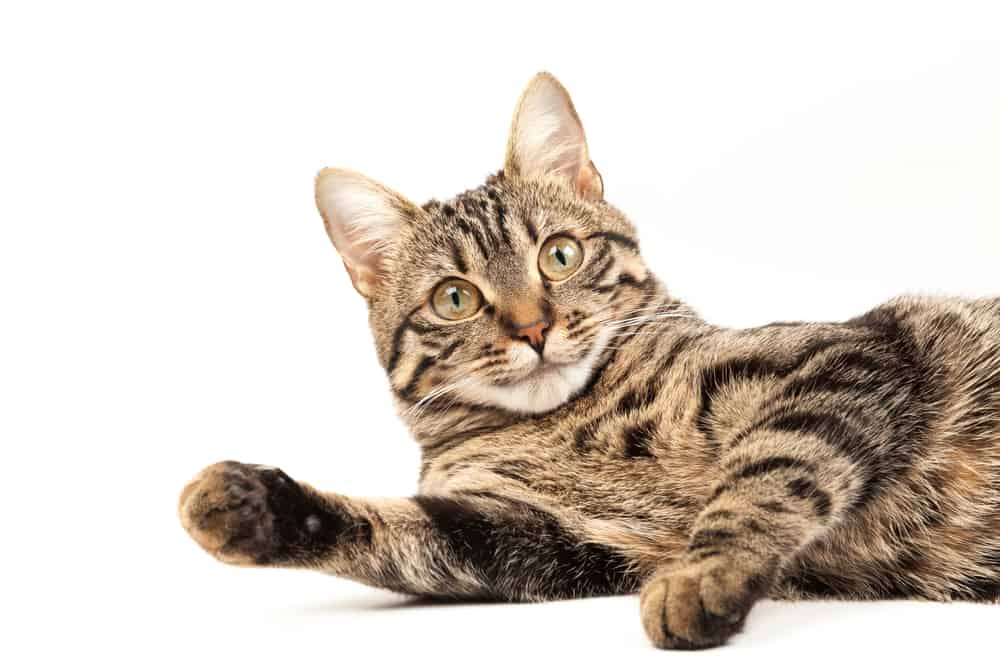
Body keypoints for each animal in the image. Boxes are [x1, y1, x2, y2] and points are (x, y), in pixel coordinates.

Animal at [180, 74, 1000, 652]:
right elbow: (393, 529)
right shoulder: (547, 540)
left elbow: (762, 478)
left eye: (560, 255)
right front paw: (254, 504)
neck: (568, 424)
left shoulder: (842, 358)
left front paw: (701, 575)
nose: (533, 327)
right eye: (455, 298)